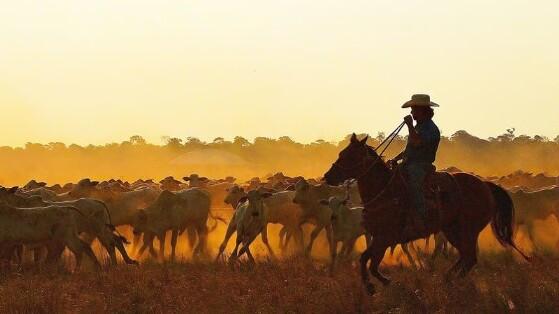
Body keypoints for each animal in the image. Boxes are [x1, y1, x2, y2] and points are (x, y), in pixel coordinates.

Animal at [322, 134, 528, 296]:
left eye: (348, 155)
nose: (327, 176)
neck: (384, 191)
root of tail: (485, 185)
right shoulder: (379, 238)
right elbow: (365, 259)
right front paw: (374, 285)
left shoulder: (385, 238)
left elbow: (370, 263)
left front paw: (379, 283)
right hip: (452, 230)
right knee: (466, 257)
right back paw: (447, 278)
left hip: (467, 230)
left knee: (469, 257)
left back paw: (449, 280)